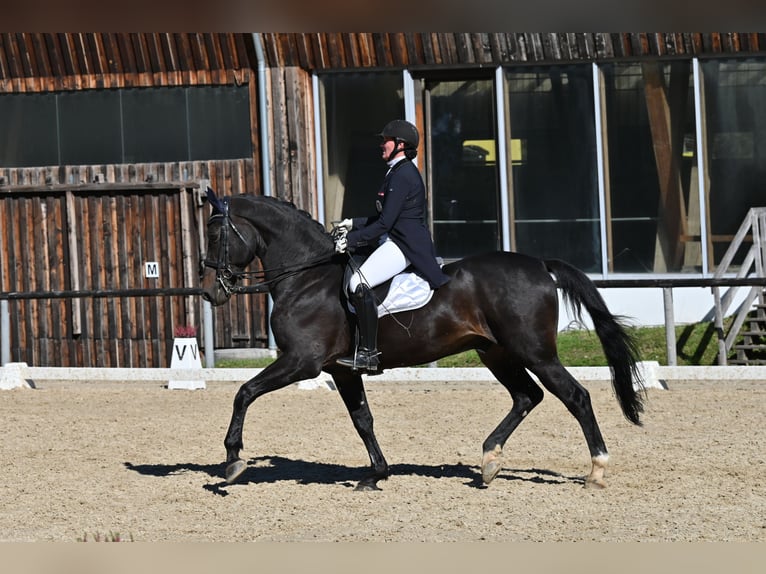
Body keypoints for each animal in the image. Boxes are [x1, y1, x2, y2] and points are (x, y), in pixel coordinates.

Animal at [201, 191, 644, 492]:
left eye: (214, 236)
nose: (210, 292)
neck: (306, 277)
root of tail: (539, 264)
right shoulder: (340, 370)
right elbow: (362, 419)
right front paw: (376, 474)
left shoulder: (301, 362)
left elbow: (244, 392)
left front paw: (233, 460)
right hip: (497, 353)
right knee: (526, 396)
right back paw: (489, 461)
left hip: (534, 352)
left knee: (575, 396)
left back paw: (596, 470)